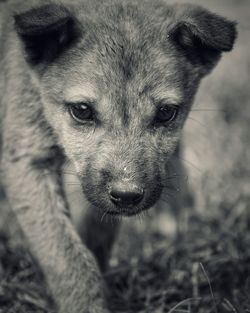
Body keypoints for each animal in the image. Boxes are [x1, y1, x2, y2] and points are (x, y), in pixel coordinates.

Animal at [0, 1, 236, 310]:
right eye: (82, 110)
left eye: (166, 112)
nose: (127, 195)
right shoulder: (27, 157)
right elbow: (66, 256)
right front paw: (86, 305)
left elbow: (95, 235)